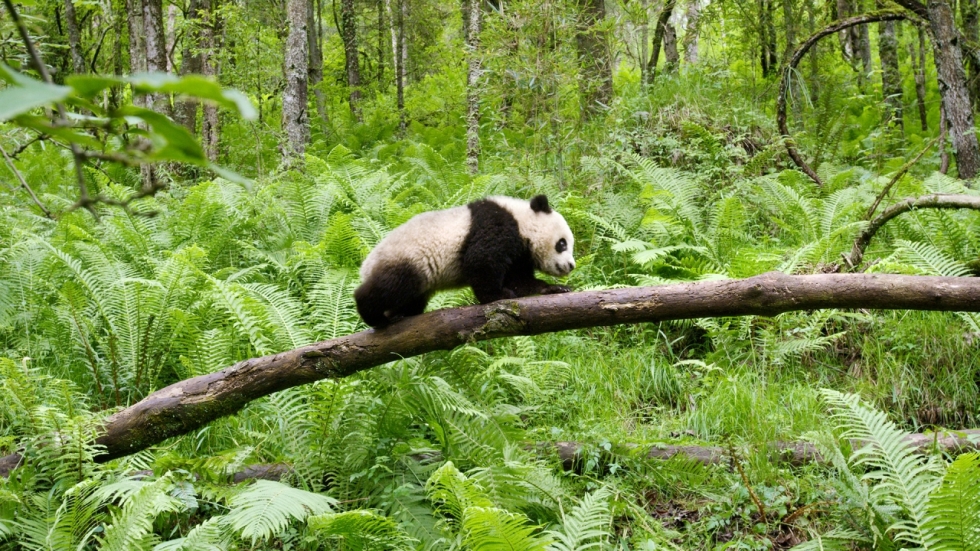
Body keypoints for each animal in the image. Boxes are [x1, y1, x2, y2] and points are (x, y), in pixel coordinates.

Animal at [354, 195, 576, 328]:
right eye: (562, 244)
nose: (571, 266)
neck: (521, 221)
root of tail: (366, 266)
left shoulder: (519, 256)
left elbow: (519, 280)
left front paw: (554, 288)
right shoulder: (496, 225)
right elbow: (481, 260)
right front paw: (497, 295)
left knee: (411, 299)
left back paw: (399, 315)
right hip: (407, 259)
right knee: (391, 286)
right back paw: (375, 316)